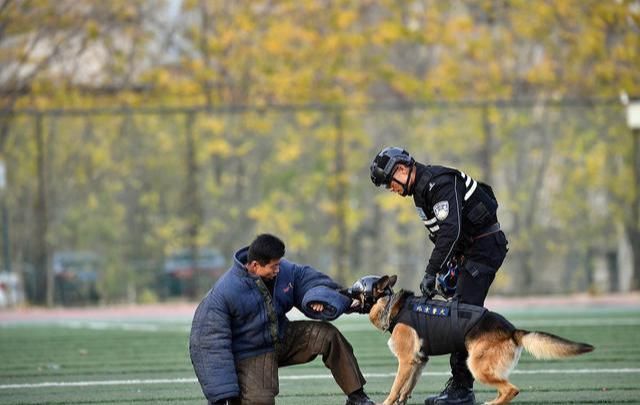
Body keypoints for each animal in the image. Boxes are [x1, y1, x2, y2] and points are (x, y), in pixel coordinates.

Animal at [364, 274, 596, 404]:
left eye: (358, 288)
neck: (391, 305)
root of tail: (512, 330)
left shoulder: (405, 361)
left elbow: (395, 388)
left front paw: (386, 403)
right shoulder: (418, 361)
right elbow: (407, 387)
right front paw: (402, 400)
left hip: (477, 366)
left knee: (511, 389)